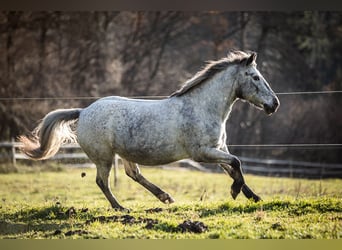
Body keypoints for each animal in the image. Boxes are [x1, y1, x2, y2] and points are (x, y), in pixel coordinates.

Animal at [18, 49, 280, 210]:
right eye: (255, 77)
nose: (274, 104)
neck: (202, 107)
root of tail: (83, 112)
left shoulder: (217, 149)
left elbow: (234, 168)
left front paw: (254, 197)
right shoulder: (202, 153)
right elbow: (236, 163)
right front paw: (236, 192)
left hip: (124, 153)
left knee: (133, 174)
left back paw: (165, 197)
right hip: (104, 157)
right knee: (102, 182)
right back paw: (120, 207)